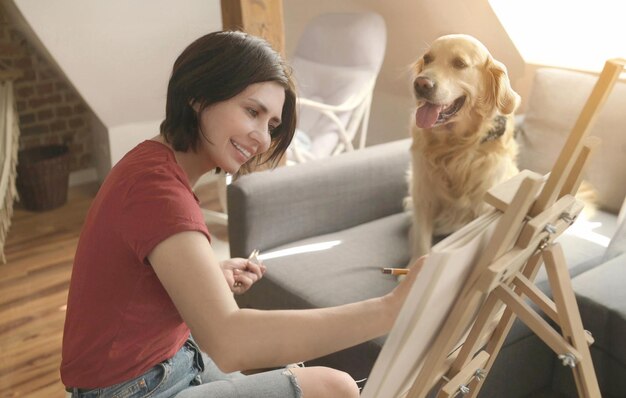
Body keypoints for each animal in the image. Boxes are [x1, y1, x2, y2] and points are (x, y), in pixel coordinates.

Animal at [404, 35, 516, 262]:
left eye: (459, 64)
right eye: (427, 59)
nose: (420, 83)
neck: (454, 148)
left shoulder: (484, 205)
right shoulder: (423, 195)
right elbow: (421, 245)